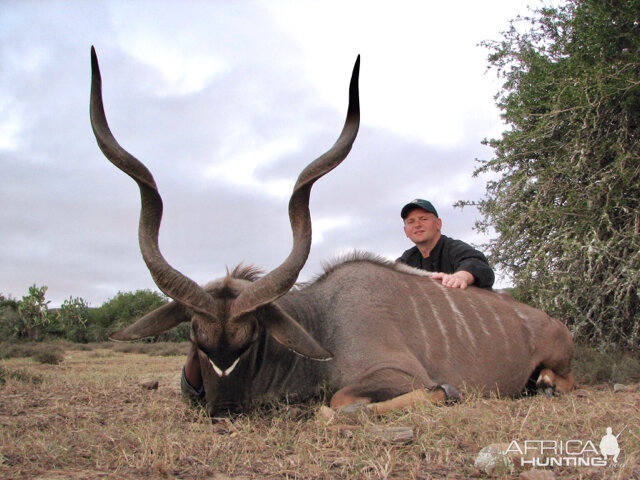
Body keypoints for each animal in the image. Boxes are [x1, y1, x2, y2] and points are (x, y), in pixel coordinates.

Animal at [90, 49, 576, 416]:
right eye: (195, 339)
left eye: (252, 339)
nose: (223, 411)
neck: (322, 322)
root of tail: (555, 323)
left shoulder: (398, 374)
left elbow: (339, 403)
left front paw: (446, 392)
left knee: (564, 381)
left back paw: (546, 383)